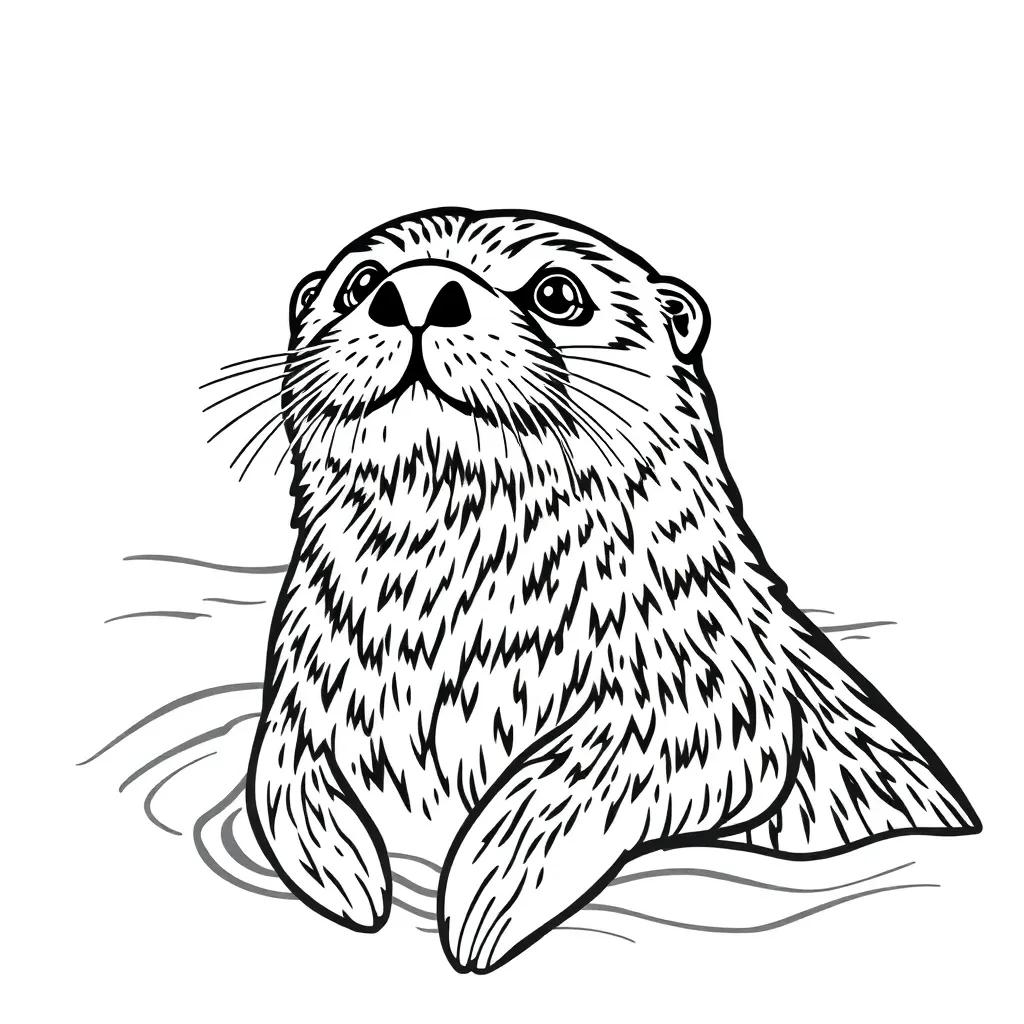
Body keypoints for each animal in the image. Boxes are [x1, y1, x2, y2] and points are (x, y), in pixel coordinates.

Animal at [246, 207, 980, 973]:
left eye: (557, 293)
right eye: (361, 282)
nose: (415, 292)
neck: (454, 645)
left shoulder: (710, 690)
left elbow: (579, 778)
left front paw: (487, 899)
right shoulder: (308, 676)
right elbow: (280, 774)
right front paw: (346, 879)